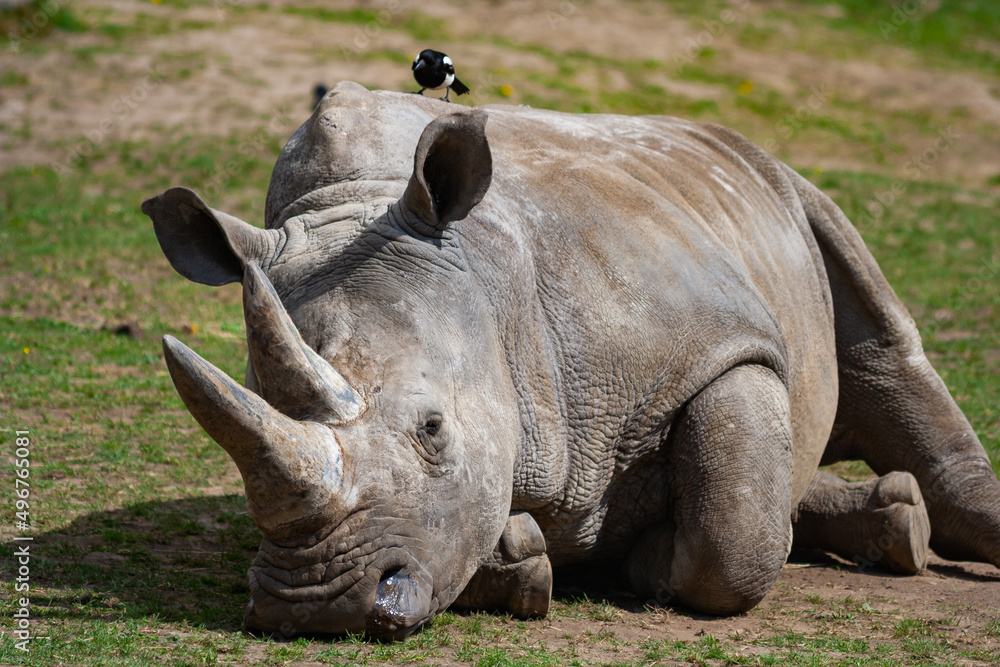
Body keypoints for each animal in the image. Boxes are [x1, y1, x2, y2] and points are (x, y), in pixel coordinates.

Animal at [142, 82, 1000, 640]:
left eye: (432, 430)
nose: (313, 605)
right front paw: (521, 558)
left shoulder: (719, 345)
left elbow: (734, 535)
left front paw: (644, 558)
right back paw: (892, 517)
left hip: (792, 188)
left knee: (885, 344)